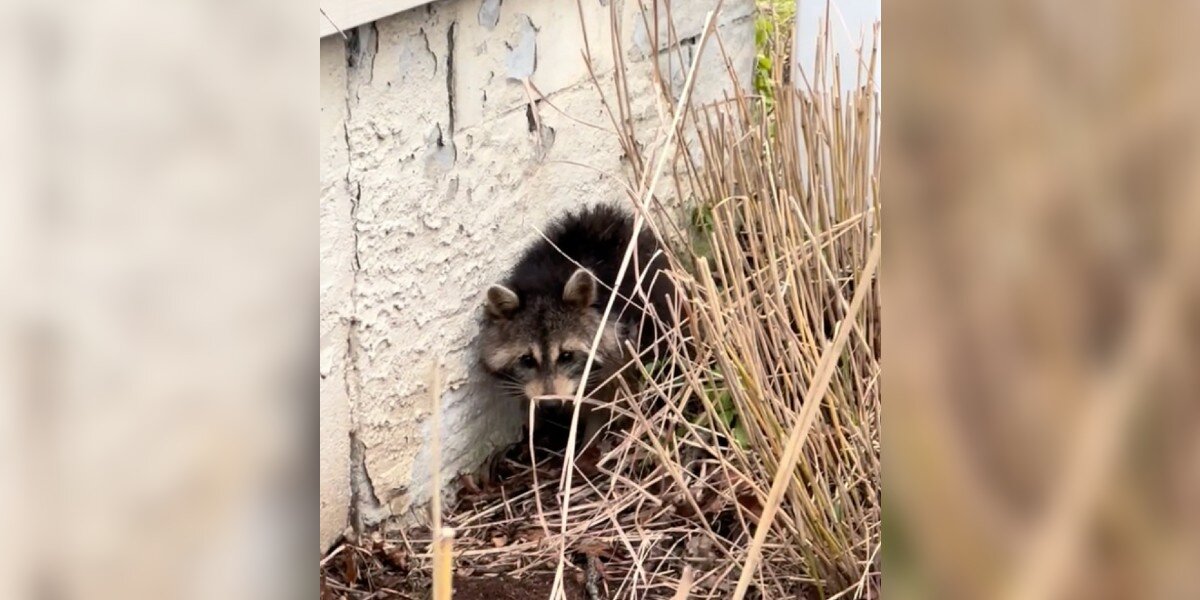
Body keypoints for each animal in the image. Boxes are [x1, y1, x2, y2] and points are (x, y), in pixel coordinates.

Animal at [480, 205, 686, 446]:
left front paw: (589, 442)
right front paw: (535, 421)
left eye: (566, 356)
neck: (545, 283)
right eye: (527, 360)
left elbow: (607, 398)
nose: (550, 405)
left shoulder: (620, 352)